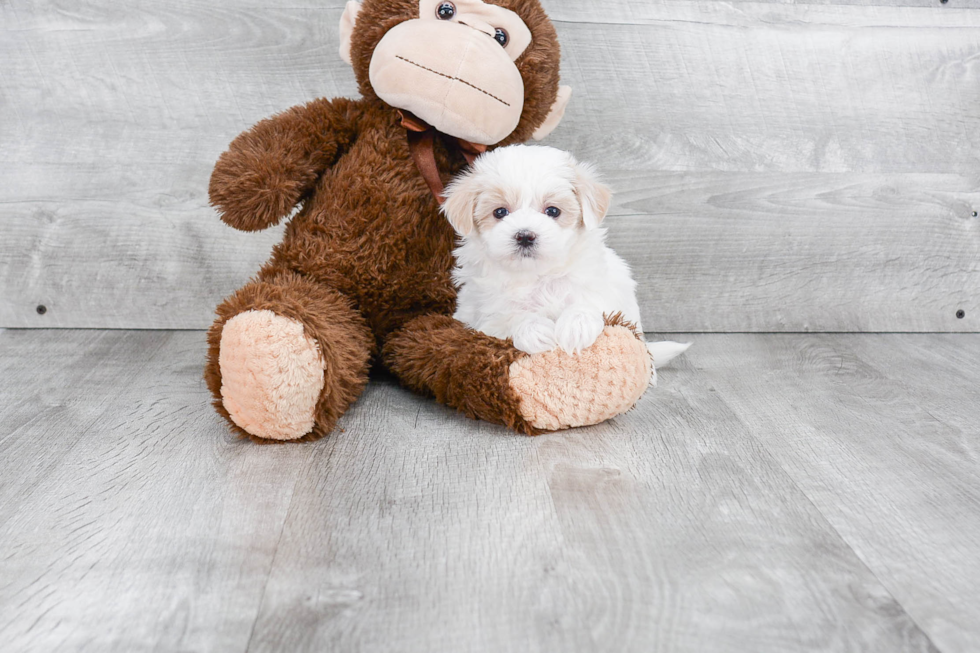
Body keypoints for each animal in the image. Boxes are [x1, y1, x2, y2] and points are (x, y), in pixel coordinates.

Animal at [444, 143, 688, 376]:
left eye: (553, 211)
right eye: (500, 212)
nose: (525, 236)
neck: (539, 275)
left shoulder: (599, 288)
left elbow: (589, 303)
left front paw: (577, 327)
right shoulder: (485, 315)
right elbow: (511, 317)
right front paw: (535, 331)